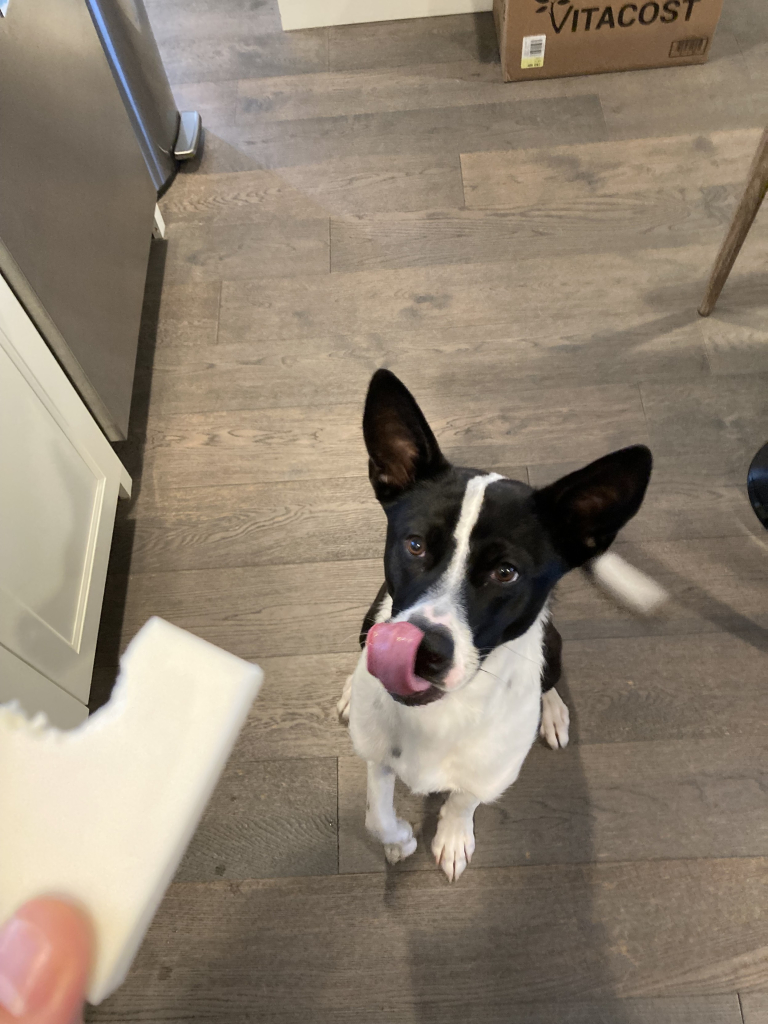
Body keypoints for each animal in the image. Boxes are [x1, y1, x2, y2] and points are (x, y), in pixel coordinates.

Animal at [339, 372, 663, 884]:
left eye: (505, 572)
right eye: (415, 545)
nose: (423, 651)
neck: (439, 716)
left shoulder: (488, 774)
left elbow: (464, 799)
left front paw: (452, 835)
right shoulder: (377, 755)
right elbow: (377, 814)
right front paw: (399, 841)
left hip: (554, 646)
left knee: (549, 679)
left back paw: (552, 710)